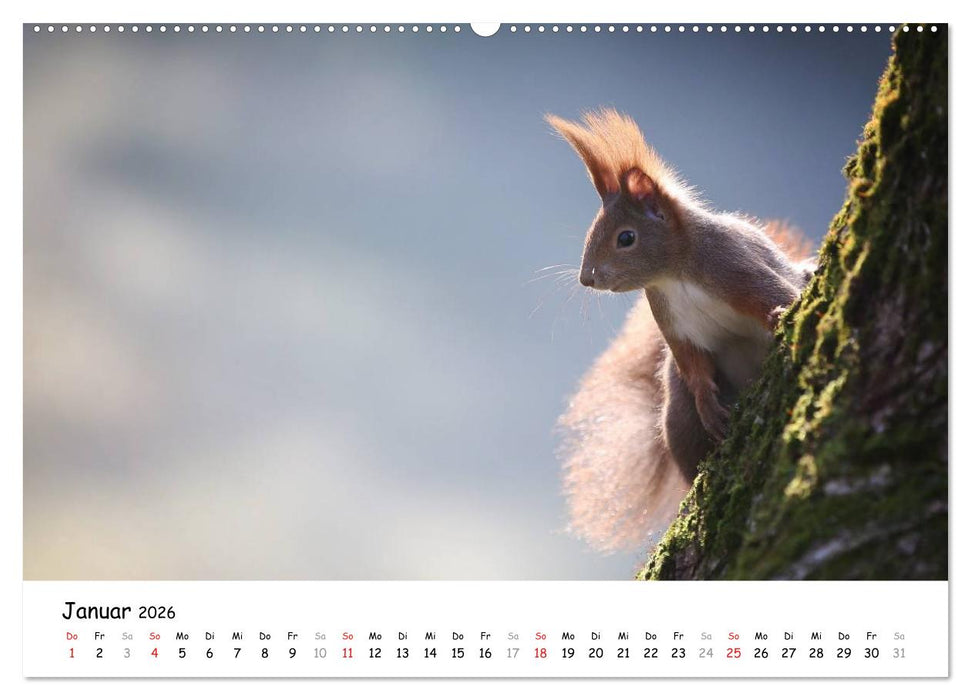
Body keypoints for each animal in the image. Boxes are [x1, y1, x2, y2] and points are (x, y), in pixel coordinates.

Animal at [547, 109, 814, 553]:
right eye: (590, 232)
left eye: (626, 238)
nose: (587, 278)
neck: (674, 274)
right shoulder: (675, 326)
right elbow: (694, 367)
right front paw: (708, 403)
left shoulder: (737, 269)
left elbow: (776, 295)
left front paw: (781, 315)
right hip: (678, 418)